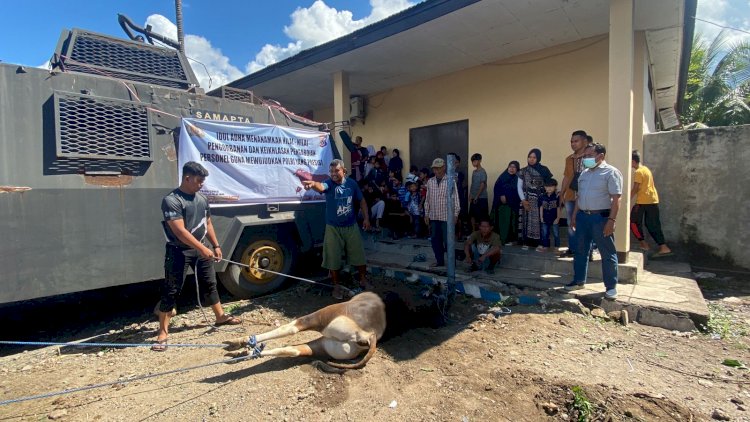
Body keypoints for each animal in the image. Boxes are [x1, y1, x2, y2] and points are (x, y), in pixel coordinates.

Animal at [223, 292, 388, 370]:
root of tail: (369, 336)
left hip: (321, 318)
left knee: (290, 328)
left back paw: (237, 344)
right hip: (326, 345)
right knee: (293, 350)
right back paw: (243, 352)